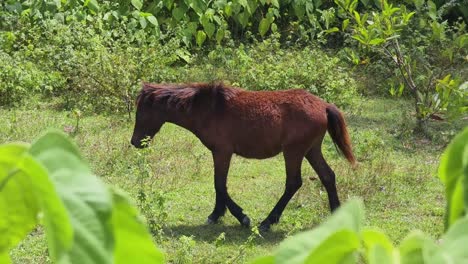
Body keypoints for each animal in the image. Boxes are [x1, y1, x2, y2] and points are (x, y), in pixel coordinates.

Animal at [130, 81, 356, 230]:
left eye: (141, 112)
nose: (134, 142)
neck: (209, 108)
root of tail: (324, 105)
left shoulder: (222, 151)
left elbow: (219, 184)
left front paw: (241, 217)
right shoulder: (219, 153)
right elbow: (220, 185)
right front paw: (216, 214)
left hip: (294, 152)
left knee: (293, 183)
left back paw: (267, 222)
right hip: (311, 150)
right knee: (327, 176)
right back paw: (336, 216)